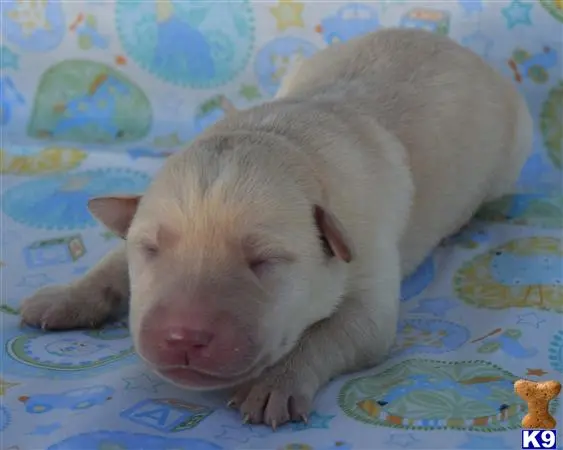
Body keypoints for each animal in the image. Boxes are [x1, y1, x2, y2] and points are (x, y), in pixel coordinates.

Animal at [19, 29, 532, 428]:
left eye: (264, 260)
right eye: (150, 249)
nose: (182, 337)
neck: (283, 139)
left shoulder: (370, 273)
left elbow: (333, 332)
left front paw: (276, 384)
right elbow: (110, 262)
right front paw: (65, 296)